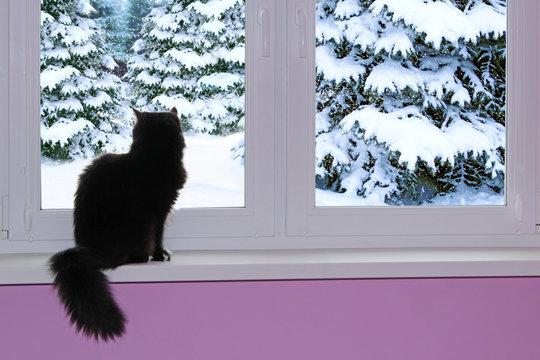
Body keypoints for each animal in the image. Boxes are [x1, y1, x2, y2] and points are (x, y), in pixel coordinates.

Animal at [49, 107, 188, 340]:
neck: (153, 154)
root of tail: (85, 253)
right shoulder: (160, 211)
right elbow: (159, 237)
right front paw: (161, 255)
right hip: (139, 230)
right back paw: (143, 257)